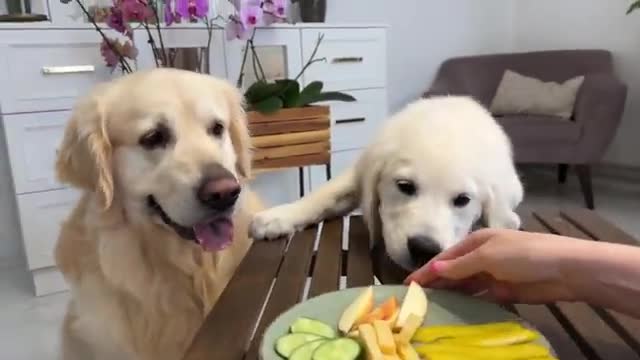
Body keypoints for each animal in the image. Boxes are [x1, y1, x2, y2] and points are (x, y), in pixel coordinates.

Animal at [248, 96, 524, 270]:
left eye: (463, 200)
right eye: (405, 186)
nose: (423, 249)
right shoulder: (360, 172)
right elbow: (325, 194)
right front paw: (279, 216)